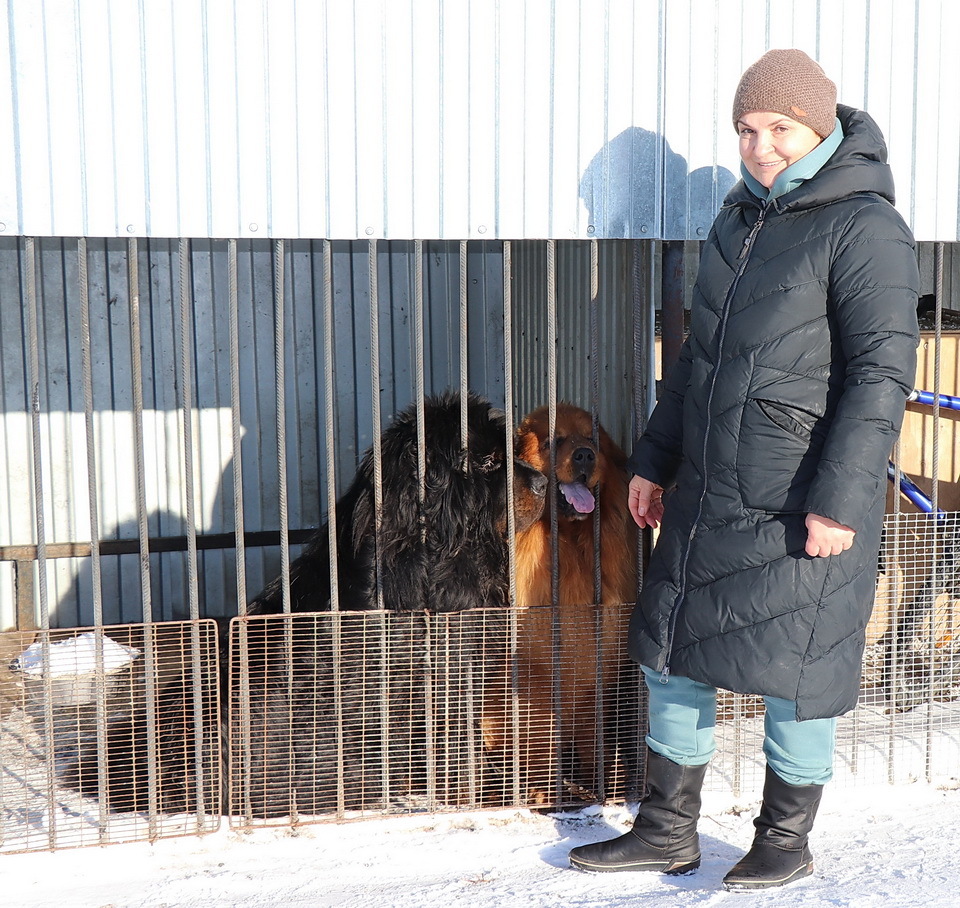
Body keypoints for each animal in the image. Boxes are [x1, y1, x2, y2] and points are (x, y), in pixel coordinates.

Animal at [480, 400, 636, 804]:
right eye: (554, 441)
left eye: (591, 439)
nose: (585, 455)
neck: (570, 548)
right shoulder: (534, 676)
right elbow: (540, 735)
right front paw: (543, 790)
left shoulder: (598, 669)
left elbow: (593, 735)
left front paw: (604, 781)